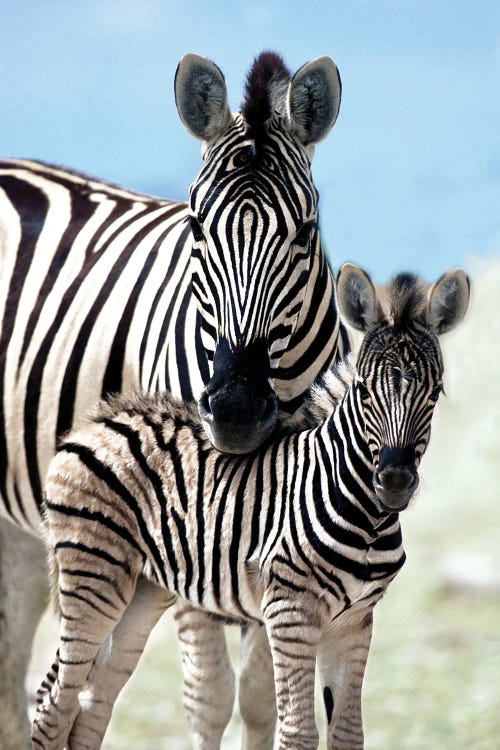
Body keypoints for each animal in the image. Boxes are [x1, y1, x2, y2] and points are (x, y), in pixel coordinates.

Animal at [0, 50, 348, 748]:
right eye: (195, 227)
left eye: (305, 233)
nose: (236, 412)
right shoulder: (188, 532)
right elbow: (210, 696)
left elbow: (263, 700)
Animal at [31, 262, 468, 748]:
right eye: (364, 392)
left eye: (435, 393)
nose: (393, 482)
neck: (367, 519)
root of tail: (97, 421)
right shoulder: (290, 611)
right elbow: (298, 732)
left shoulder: (355, 621)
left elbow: (348, 733)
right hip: (93, 573)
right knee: (55, 701)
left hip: (142, 590)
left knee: (92, 701)